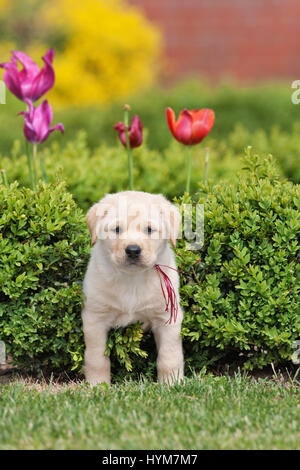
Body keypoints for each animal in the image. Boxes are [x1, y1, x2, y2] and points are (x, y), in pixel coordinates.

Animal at [82, 191, 185, 386]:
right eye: (116, 229)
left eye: (149, 229)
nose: (133, 250)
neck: (132, 279)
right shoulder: (95, 317)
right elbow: (96, 359)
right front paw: (97, 385)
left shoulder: (167, 317)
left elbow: (169, 357)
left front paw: (171, 384)